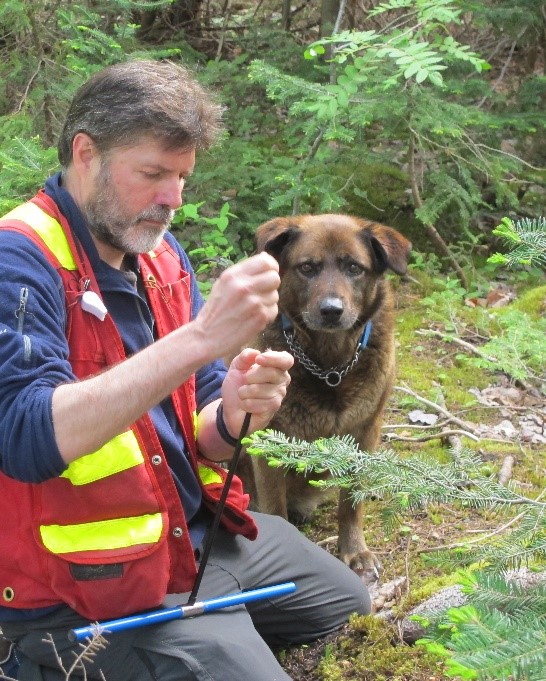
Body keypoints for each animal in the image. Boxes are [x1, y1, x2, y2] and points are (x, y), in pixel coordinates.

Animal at [241, 212, 408, 580]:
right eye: (307, 267)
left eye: (354, 268)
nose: (332, 310)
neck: (330, 367)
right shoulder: (268, 440)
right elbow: (274, 507)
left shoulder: (365, 431)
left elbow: (351, 503)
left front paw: (355, 550)